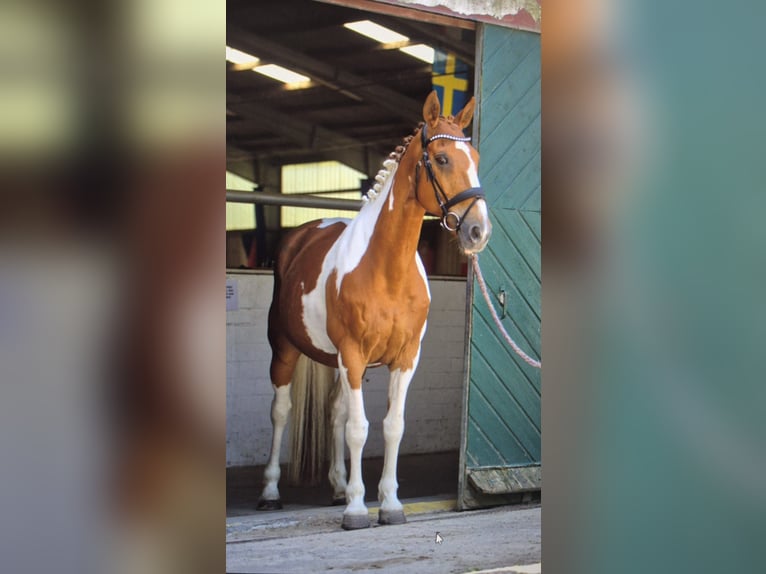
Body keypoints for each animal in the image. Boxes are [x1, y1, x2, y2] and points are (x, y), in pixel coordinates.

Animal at [257, 91, 492, 529]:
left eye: (476, 158)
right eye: (442, 159)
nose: (478, 231)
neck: (387, 268)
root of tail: (301, 235)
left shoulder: (405, 358)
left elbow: (391, 426)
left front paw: (389, 503)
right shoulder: (353, 353)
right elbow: (359, 429)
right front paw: (356, 509)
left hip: (333, 360)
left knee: (333, 412)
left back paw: (336, 486)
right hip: (286, 350)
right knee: (280, 412)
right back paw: (270, 493)